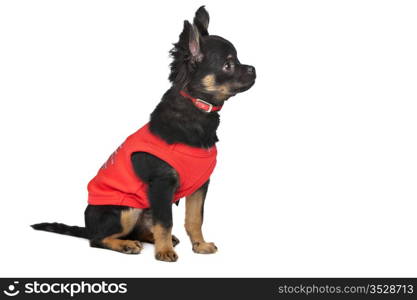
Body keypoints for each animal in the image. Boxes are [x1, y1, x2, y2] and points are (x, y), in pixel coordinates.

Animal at [31, 5, 254, 262]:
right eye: (228, 65)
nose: (253, 69)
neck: (196, 110)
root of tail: (88, 226)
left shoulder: (200, 185)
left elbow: (194, 218)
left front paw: (199, 245)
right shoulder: (161, 185)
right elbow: (166, 221)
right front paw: (164, 252)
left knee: (140, 230)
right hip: (127, 208)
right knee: (97, 239)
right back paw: (127, 244)